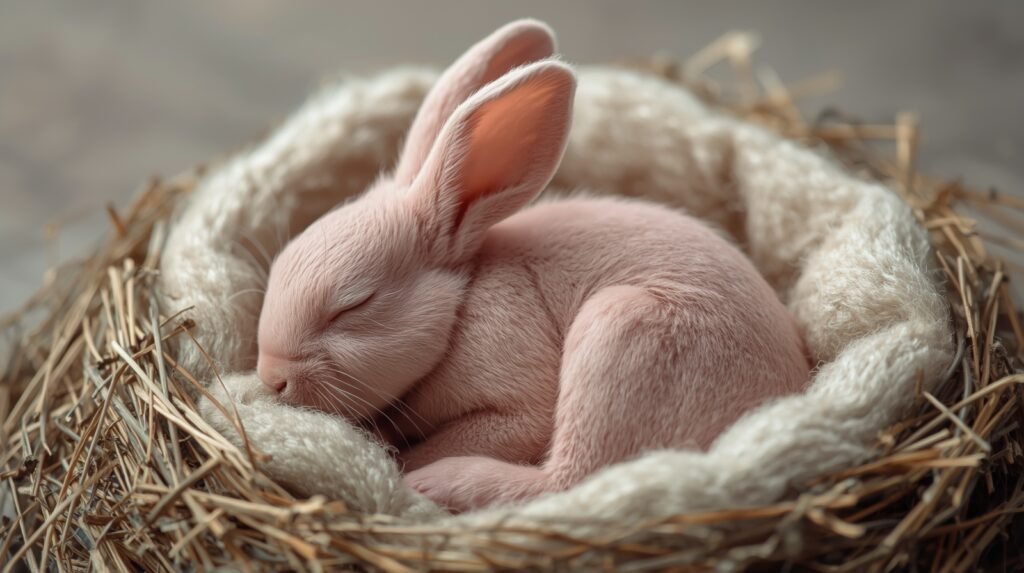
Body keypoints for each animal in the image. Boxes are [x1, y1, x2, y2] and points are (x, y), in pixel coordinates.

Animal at [255, 19, 811, 512]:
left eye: (354, 305)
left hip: (620, 336)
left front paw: (406, 462)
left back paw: (442, 483)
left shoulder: (521, 403)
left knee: (572, 478)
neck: (459, 311)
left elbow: (491, 432)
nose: (271, 379)